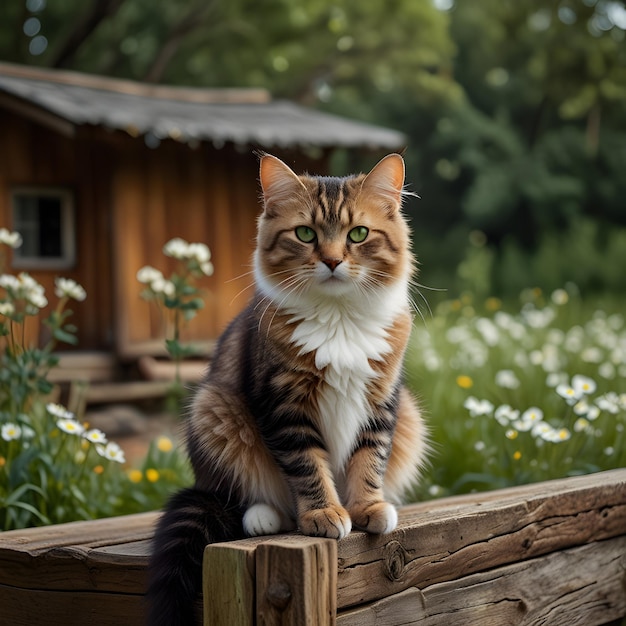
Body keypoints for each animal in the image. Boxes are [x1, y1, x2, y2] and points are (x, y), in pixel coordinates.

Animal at [146, 152, 428, 624]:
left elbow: (368, 461)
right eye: (305, 234)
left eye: (358, 234)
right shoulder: (284, 406)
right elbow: (308, 467)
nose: (331, 261)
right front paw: (325, 513)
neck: (338, 319)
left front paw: (367, 507)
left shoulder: (382, 403)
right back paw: (265, 517)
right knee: (242, 495)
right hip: (216, 411)